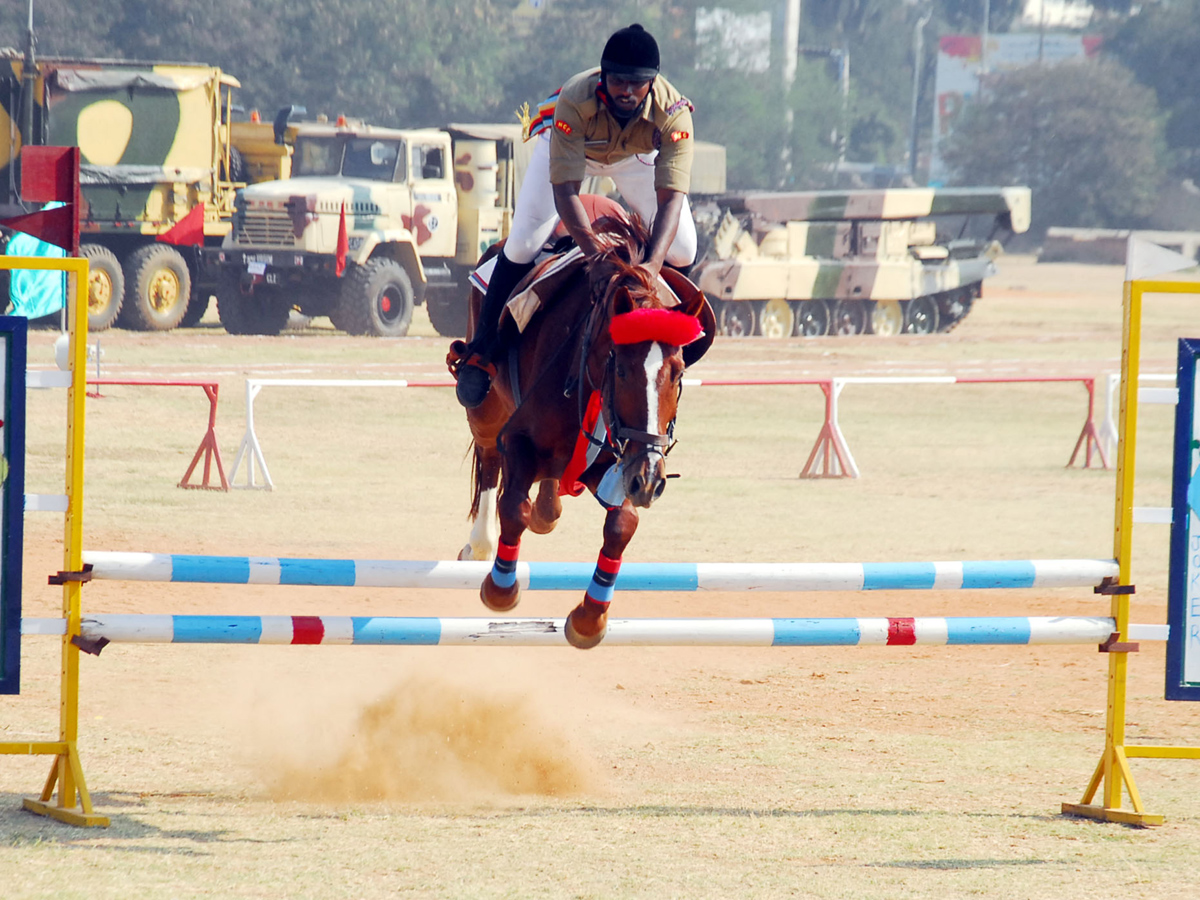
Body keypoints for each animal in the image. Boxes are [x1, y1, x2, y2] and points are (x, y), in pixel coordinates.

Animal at [448, 213, 710, 648]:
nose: (650, 480)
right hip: (485, 408)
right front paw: (501, 589)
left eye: (678, 373)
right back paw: (480, 545)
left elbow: (623, 524)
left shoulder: (618, 461)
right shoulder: (518, 438)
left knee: (548, 492)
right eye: (621, 369)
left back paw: (547, 510)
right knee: (488, 459)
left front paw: (589, 619)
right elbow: (512, 505)